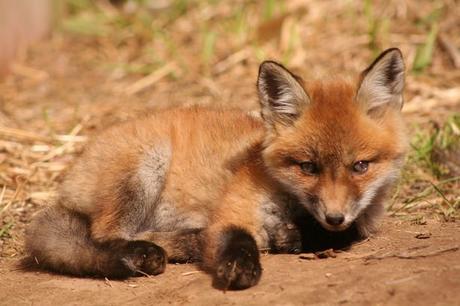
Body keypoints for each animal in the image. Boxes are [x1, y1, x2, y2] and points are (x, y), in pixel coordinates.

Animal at [24, 47, 406, 290]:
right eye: (308, 167)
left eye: (360, 166)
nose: (334, 216)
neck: (290, 204)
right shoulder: (234, 210)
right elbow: (237, 238)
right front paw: (240, 266)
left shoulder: (362, 221)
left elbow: (345, 234)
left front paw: (296, 237)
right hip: (147, 166)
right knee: (107, 237)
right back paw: (164, 249)